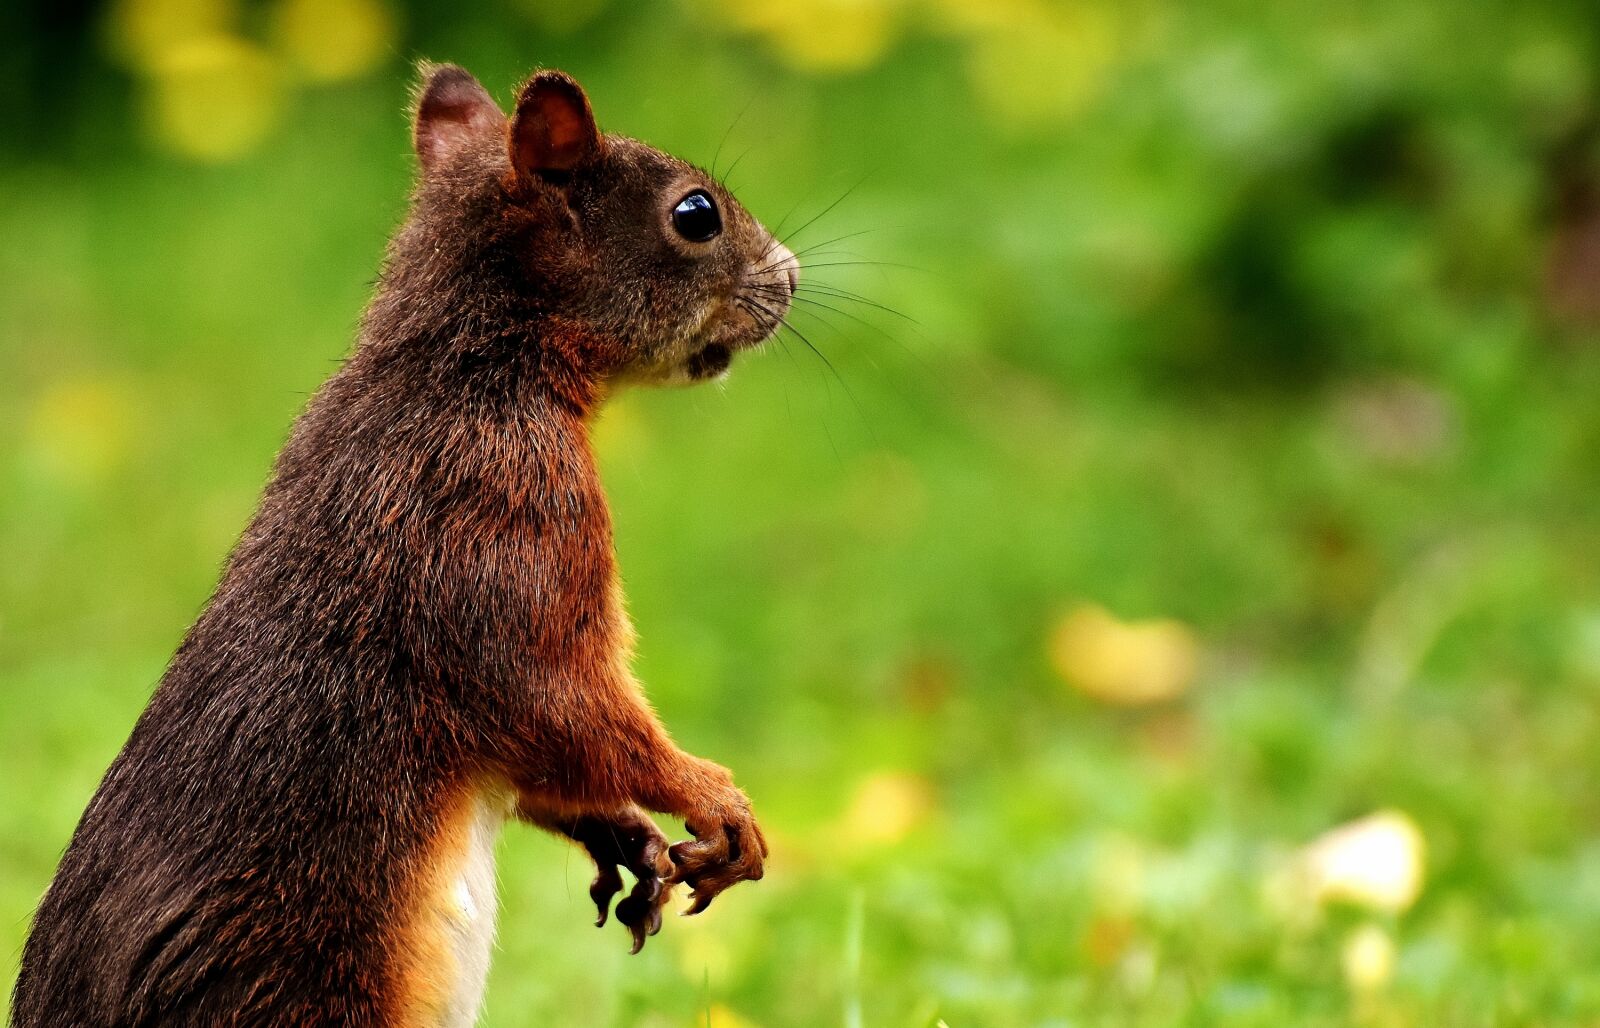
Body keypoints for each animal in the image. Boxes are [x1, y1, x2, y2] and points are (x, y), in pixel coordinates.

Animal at [11, 64, 799, 1028]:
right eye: (695, 214)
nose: (791, 275)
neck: (467, 370)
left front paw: (626, 834)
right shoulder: (500, 534)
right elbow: (564, 704)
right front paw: (710, 795)